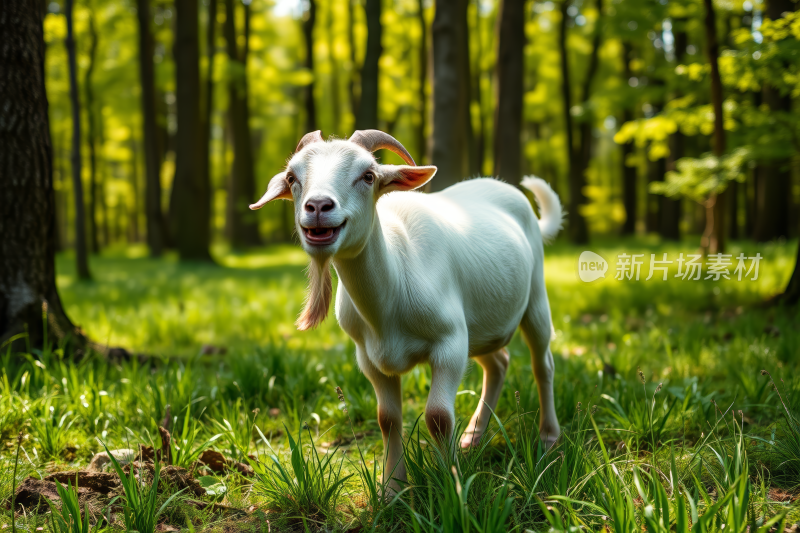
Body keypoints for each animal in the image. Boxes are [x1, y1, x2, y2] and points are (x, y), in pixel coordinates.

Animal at [252, 130, 564, 490]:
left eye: (368, 175)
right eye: (292, 178)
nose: (317, 206)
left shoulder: (450, 343)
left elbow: (438, 416)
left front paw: (451, 484)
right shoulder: (368, 357)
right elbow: (387, 419)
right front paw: (392, 489)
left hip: (535, 297)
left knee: (543, 364)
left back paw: (548, 437)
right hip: (481, 326)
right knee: (498, 363)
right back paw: (473, 436)